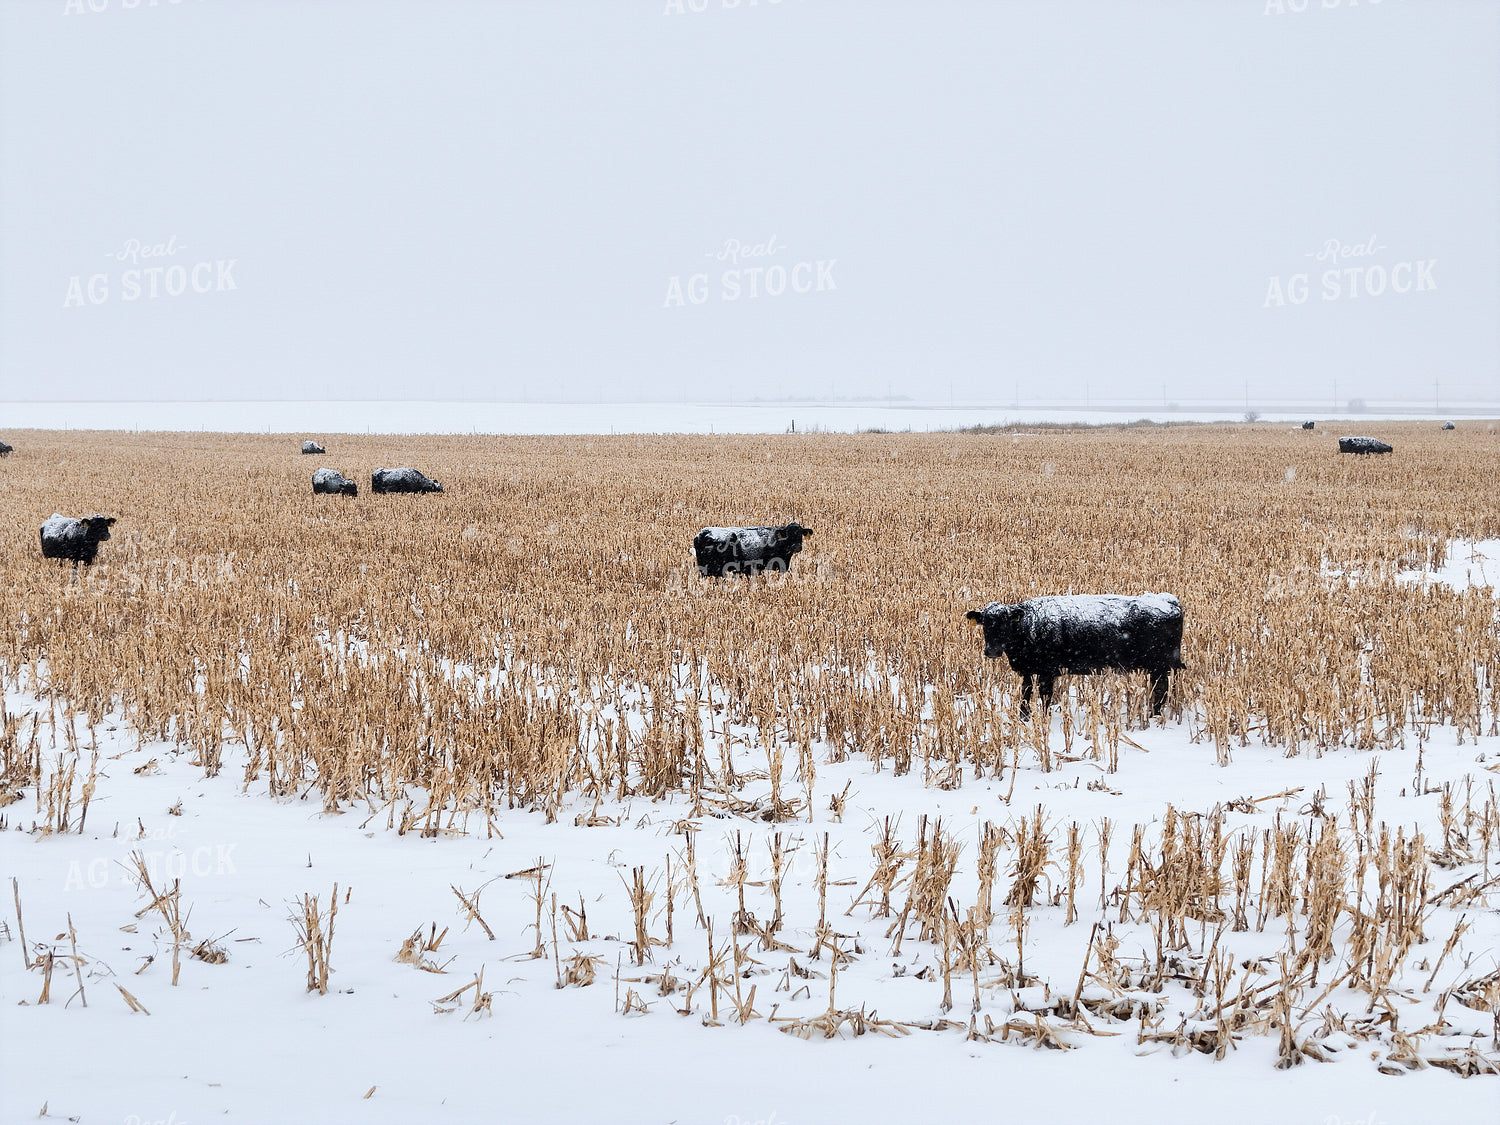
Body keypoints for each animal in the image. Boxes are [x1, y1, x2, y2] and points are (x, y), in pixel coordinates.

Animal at [966, 593, 1184, 718]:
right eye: (985, 624)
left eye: (1005, 623)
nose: (992, 651)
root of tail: (1168, 601)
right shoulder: (1027, 670)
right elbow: (1026, 693)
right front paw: (1023, 717)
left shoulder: (1047, 671)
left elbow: (1045, 696)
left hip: (1159, 664)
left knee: (1161, 689)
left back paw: (1154, 714)